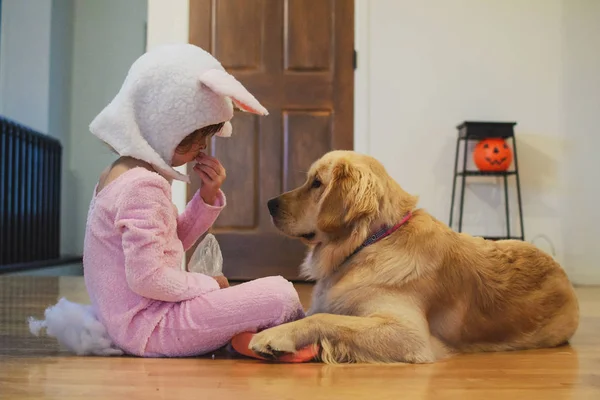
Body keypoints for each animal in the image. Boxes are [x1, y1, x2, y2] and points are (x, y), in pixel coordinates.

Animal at [246, 150, 580, 362]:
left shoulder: (408, 333)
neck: (371, 242)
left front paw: (275, 336)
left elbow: (326, 318)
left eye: (317, 183)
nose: (269, 203)